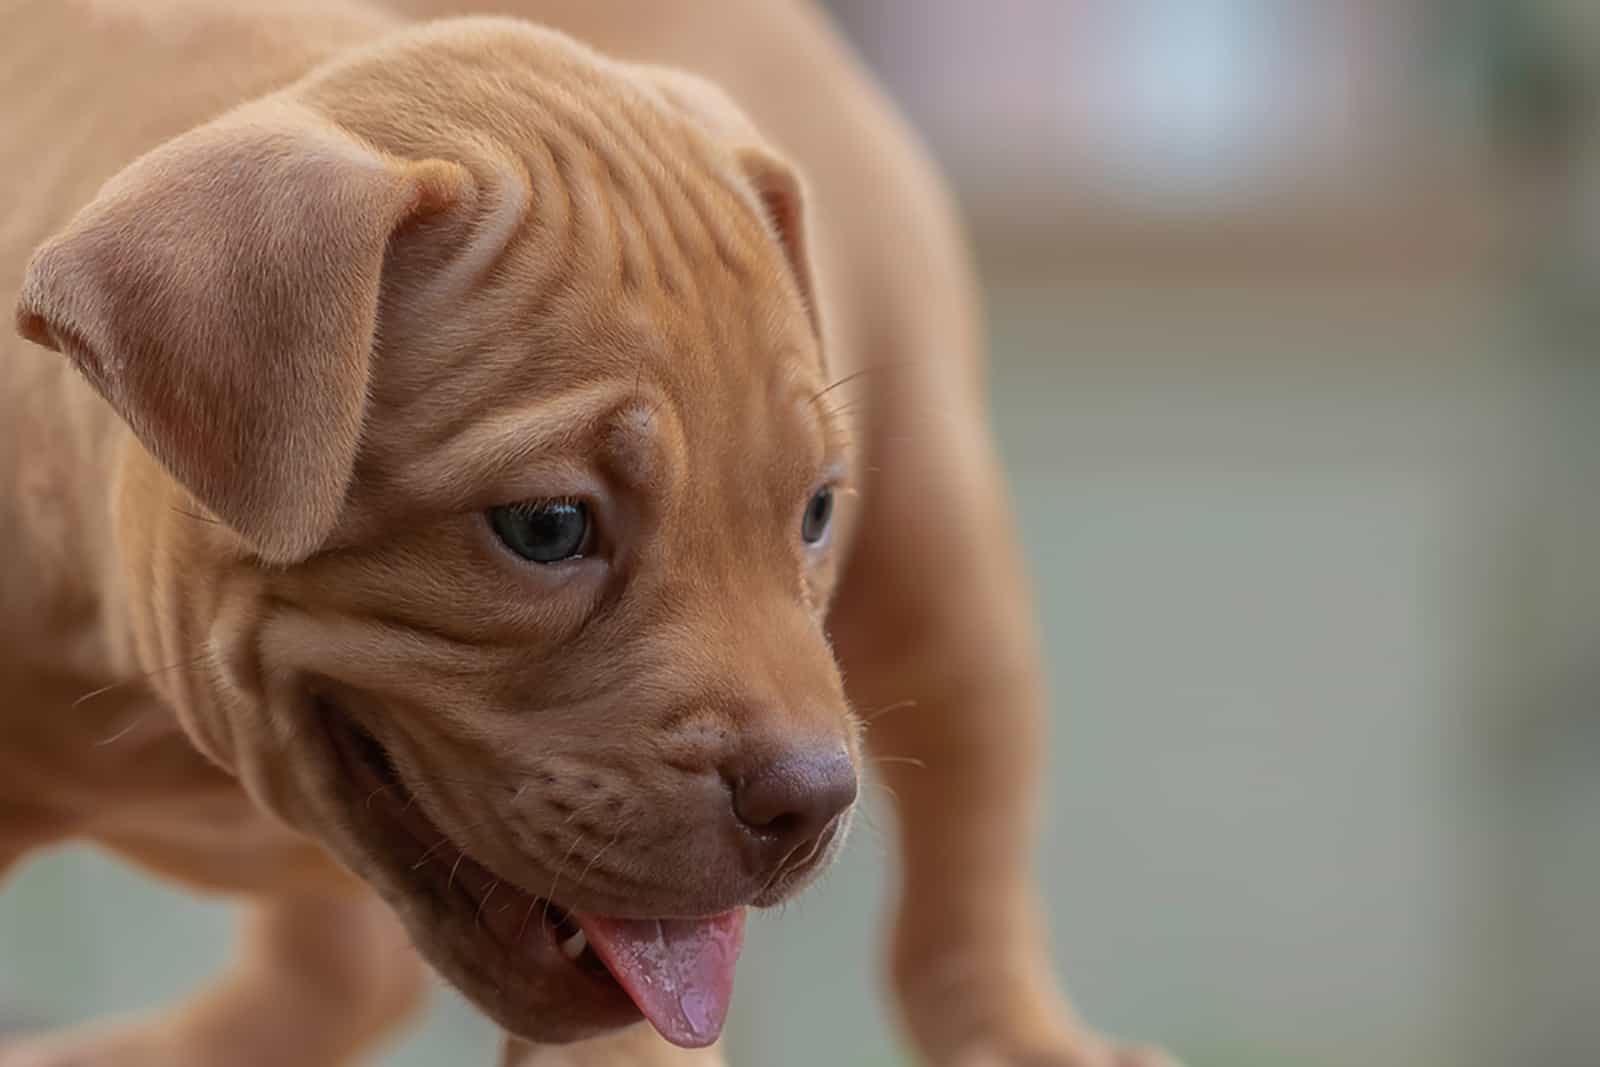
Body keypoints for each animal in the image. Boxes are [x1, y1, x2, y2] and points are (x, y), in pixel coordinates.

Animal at [0, 2, 1177, 1067]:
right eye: (548, 526)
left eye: (815, 512)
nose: (811, 800)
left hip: (942, 560)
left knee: (965, 867)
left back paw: (1021, 1036)